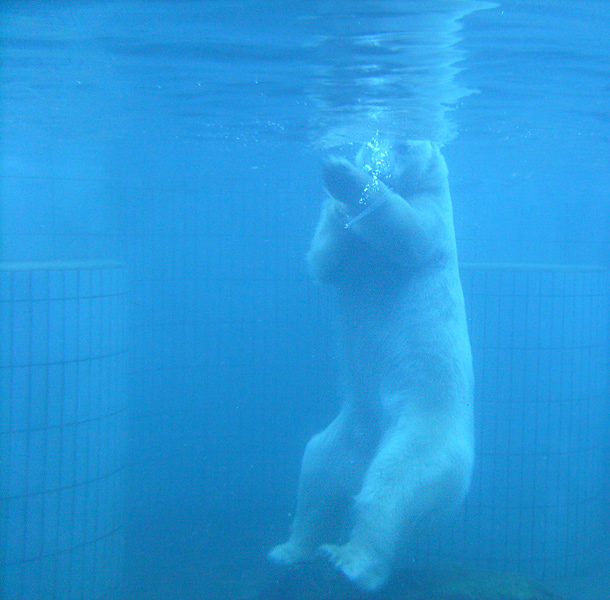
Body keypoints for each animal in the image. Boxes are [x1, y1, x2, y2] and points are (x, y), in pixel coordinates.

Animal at [268, 139, 472, 592]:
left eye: (405, 144)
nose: (384, 152)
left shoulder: (436, 214)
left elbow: (408, 232)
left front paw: (345, 177)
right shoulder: (351, 259)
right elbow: (326, 263)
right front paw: (335, 201)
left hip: (423, 434)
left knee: (393, 487)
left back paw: (350, 560)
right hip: (343, 438)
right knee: (317, 476)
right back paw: (290, 550)